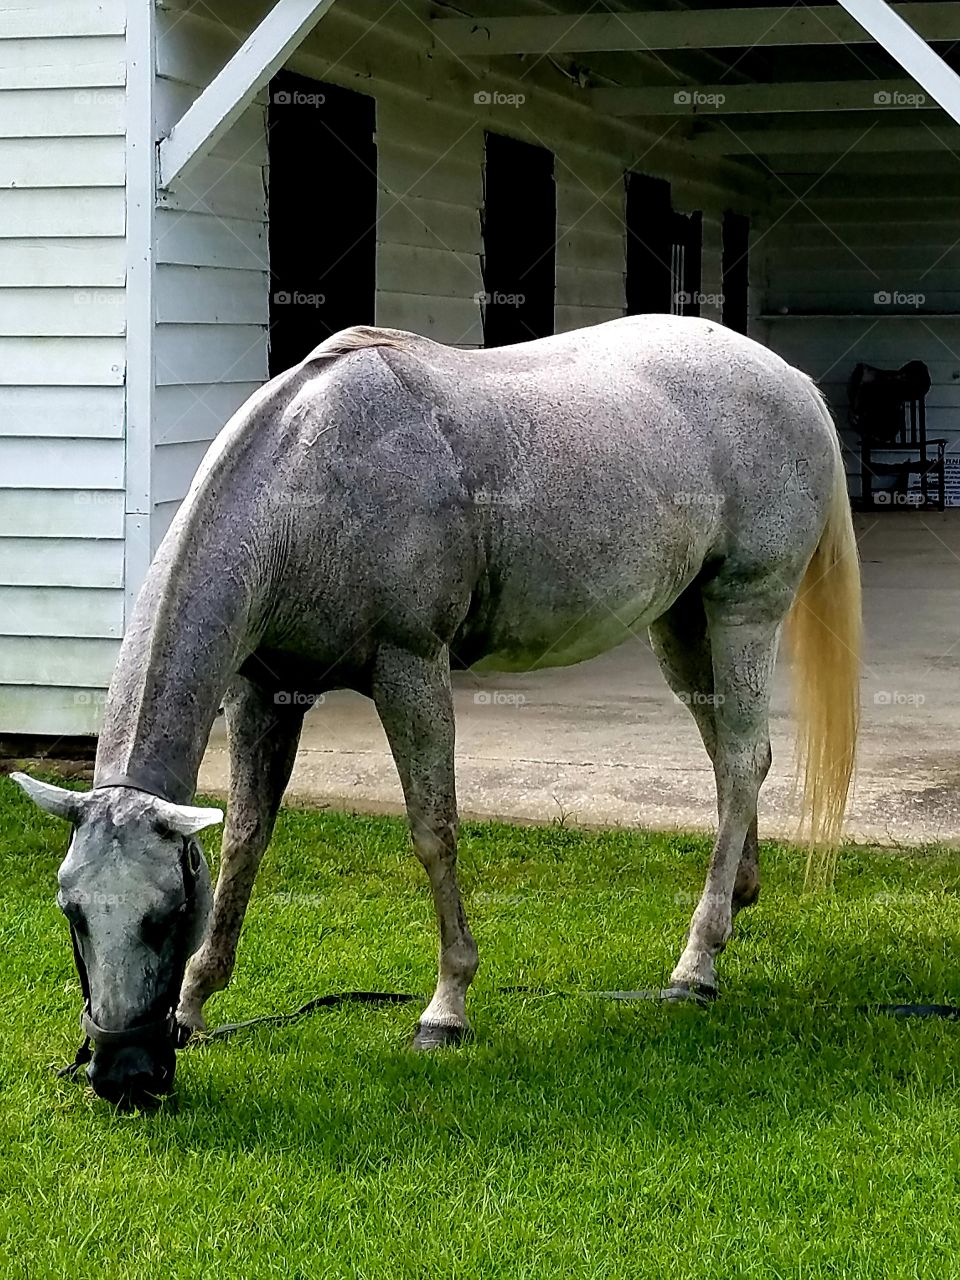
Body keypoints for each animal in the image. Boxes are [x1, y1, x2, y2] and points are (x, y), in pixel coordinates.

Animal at [15, 314, 860, 1105]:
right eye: (72, 912)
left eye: (162, 915)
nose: (123, 1075)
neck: (311, 480)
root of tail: (791, 381)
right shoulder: (263, 691)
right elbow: (246, 840)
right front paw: (196, 1004)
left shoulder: (410, 670)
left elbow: (433, 832)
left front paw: (446, 1008)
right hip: (681, 622)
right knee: (727, 757)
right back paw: (736, 901)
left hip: (743, 606)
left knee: (745, 759)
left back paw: (697, 963)